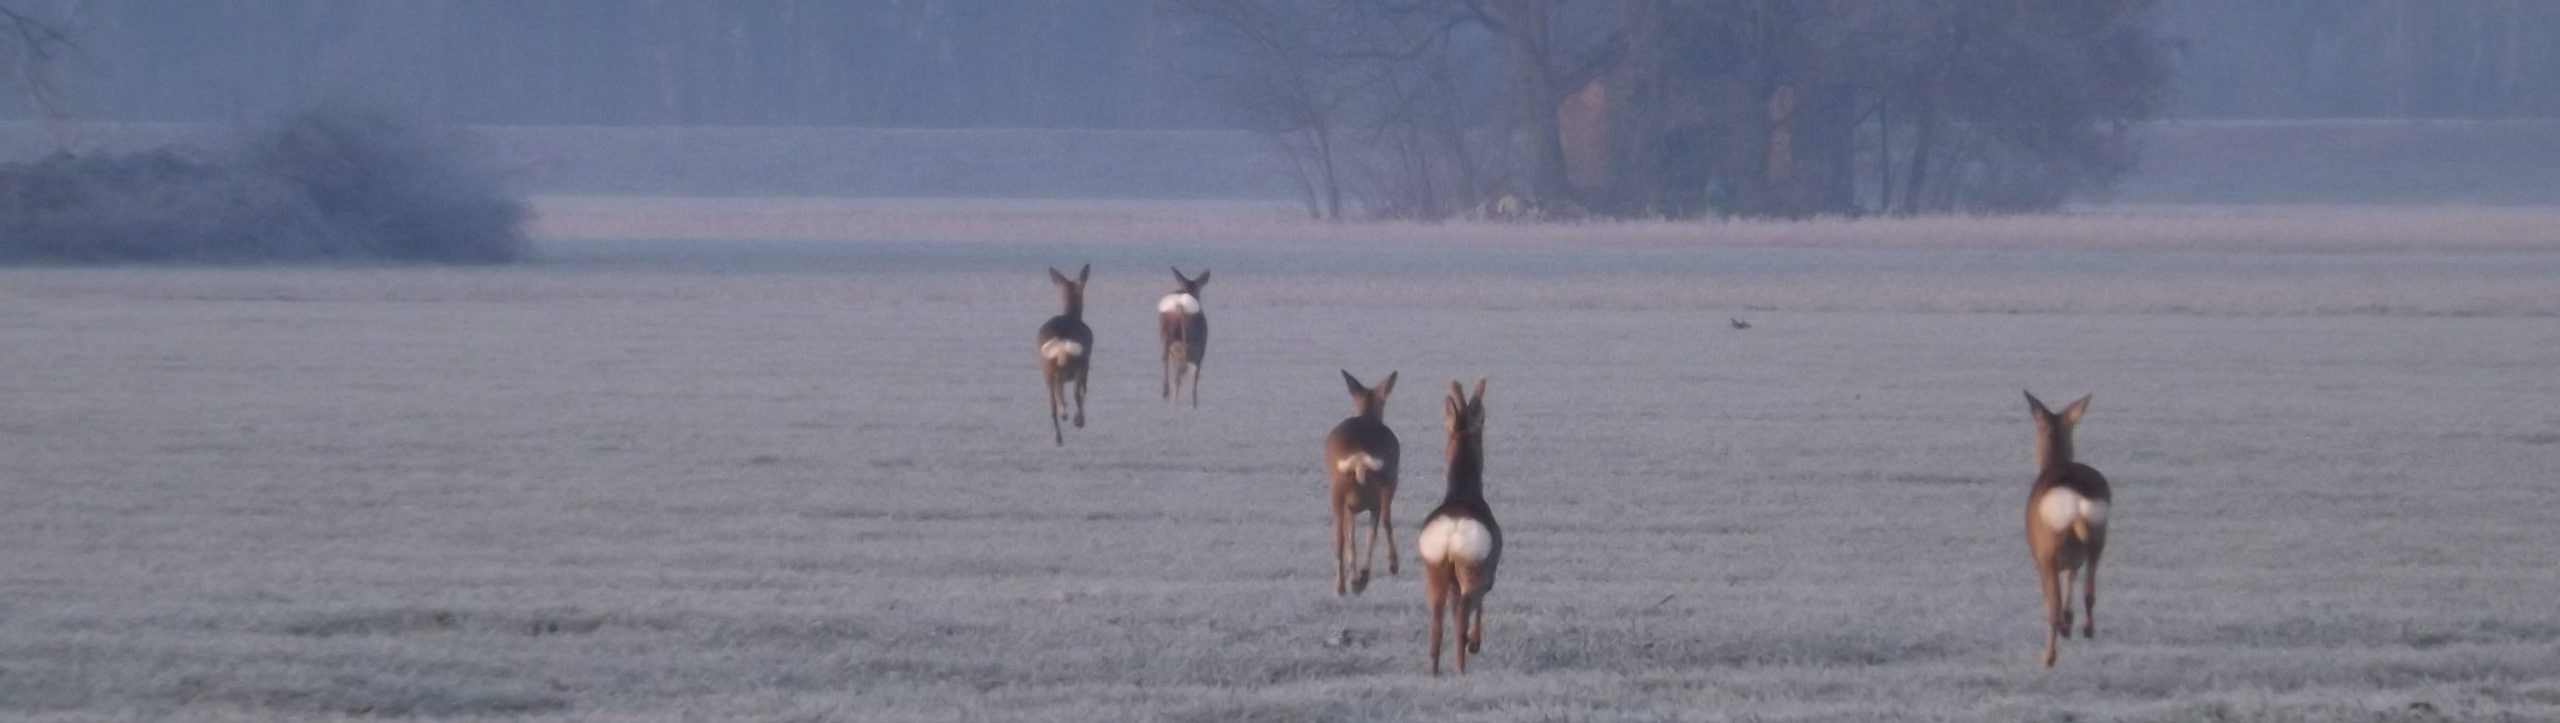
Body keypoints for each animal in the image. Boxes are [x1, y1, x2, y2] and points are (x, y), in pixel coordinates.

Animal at [1029, 265, 1090, 446]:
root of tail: (1062, 342)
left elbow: (1060, 394)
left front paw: (1065, 412)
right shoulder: (1087, 363)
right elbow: (1082, 389)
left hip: (1047, 368)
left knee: (1053, 404)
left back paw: (1058, 437)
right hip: (1080, 363)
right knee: (1077, 393)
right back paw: (1079, 421)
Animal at [1162, 266, 1208, 407]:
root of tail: (1180, 307)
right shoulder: (1200, 355)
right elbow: (1194, 381)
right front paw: (1195, 405)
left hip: (1168, 339)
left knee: (1165, 359)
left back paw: (1166, 392)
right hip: (1191, 345)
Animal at [1320, 369, 1402, 594]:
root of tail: (1358, 454)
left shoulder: (1350, 506)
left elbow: (1351, 535)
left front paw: (1352, 575)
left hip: (1337, 490)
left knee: (1340, 537)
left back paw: (1342, 585)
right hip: (1386, 484)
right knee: (1382, 523)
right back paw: (1384, 569)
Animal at [2027, 392, 2109, 671]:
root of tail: (2075, 502)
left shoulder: (2040, 558)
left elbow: (2051, 597)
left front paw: (2064, 625)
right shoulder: (2074, 558)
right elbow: (2072, 580)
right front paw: (2069, 621)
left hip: (2048, 551)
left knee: (2053, 605)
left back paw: (2048, 656)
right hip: (2098, 539)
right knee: (2090, 592)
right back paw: (2087, 630)